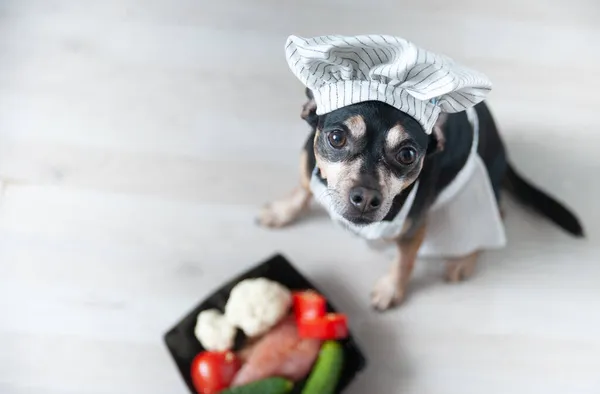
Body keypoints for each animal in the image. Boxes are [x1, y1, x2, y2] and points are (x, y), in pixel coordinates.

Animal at [255, 85, 584, 310]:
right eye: (336, 137)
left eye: (407, 154)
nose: (366, 197)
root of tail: (503, 150)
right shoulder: (306, 164)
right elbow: (302, 189)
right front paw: (282, 211)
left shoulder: (414, 226)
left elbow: (404, 261)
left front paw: (390, 290)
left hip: (477, 190)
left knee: (496, 216)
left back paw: (463, 260)